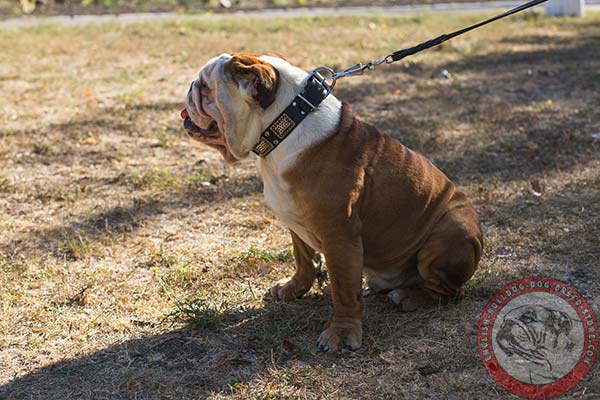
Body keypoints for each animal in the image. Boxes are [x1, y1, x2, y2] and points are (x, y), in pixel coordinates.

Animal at [179, 53, 482, 350]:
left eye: (205, 86)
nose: (190, 86)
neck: (287, 124)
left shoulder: (339, 235)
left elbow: (344, 291)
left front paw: (342, 333)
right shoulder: (295, 223)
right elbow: (303, 259)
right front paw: (294, 288)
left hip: (450, 232)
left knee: (451, 291)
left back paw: (409, 297)